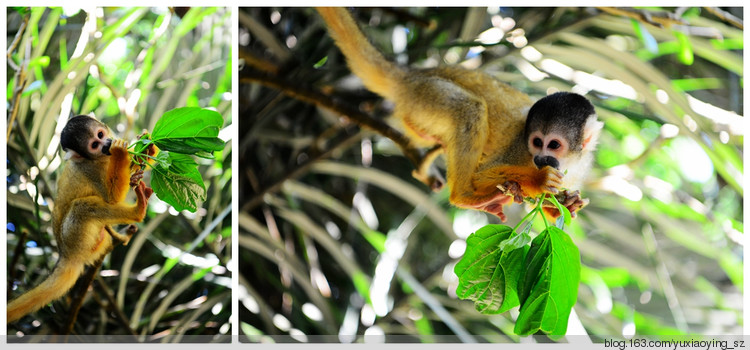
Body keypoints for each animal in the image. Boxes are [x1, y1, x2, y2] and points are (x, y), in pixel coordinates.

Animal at [7, 116, 153, 324]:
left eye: (100, 134)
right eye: (94, 145)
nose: (107, 143)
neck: (99, 158)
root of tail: (65, 256)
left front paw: (147, 147)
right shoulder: (90, 169)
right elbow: (112, 198)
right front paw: (120, 152)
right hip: (75, 240)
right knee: (80, 208)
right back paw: (137, 212)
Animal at [318, 7, 604, 221]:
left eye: (553, 145)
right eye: (536, 142)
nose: (541, 159)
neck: (570, 161)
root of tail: (413, 74)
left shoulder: (580, 167)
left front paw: (564, 204)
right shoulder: (520, 151)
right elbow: (485, 174)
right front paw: (538, 179)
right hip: (428, 94)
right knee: (470, 109)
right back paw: (466, 195)